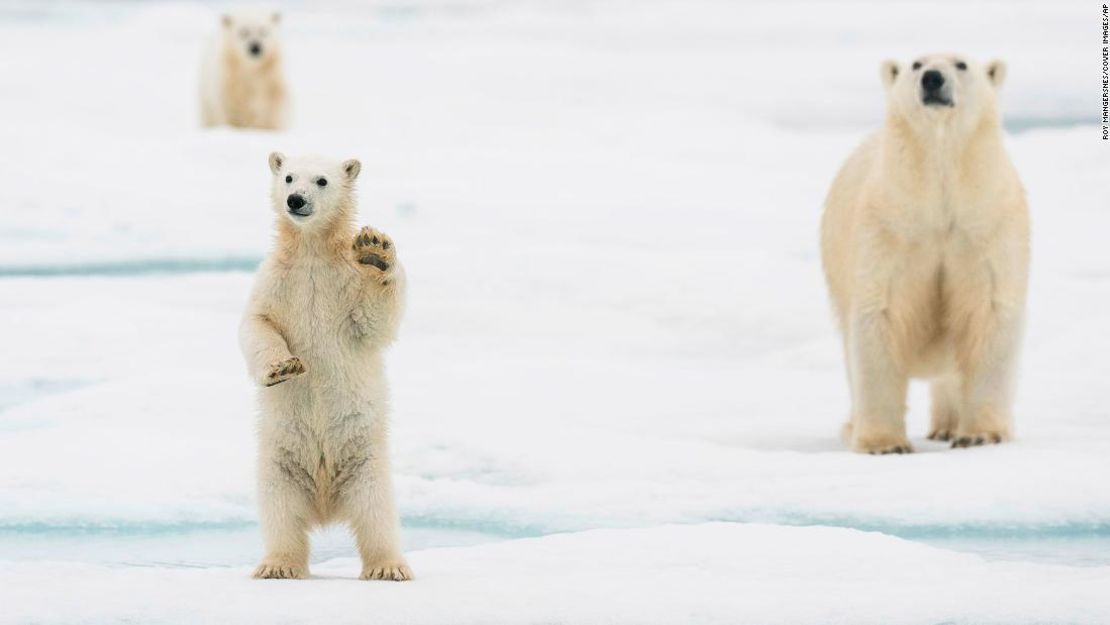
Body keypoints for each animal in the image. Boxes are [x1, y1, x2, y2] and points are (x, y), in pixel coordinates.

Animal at [239, 153, 412, 581]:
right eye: (288, 177)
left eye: (322, 180)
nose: (296, 200)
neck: (312, 253)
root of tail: (324, 505)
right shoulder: (275, 281)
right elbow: (257, 324)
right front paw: (283, 367)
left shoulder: (345, 285)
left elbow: (374, 321)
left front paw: (376, 250)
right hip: (278, 463)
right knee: (280, 512)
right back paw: (278, 565)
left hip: (366, 462)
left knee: (376, 513)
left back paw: (388, 567)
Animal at [821, 54, 1025, 455]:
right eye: (916, 64)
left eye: (961, 64)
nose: (932, 79)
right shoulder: (889, 228)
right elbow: (879, 315)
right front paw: (884, 443)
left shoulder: (987, 225)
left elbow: (988, 313)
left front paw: (980, 434)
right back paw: (853, 426)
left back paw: (947, 426)